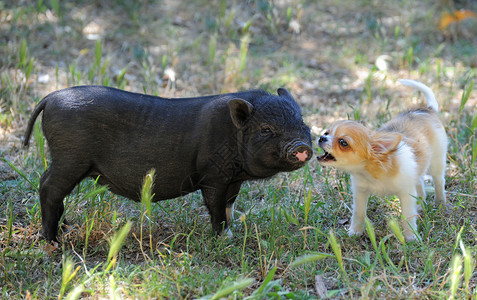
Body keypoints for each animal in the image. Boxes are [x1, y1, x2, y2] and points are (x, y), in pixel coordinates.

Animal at [23, 85, 312, 240]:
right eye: (266, 129)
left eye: (302, 122)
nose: (302, 146)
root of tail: (51, 97)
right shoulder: (213, 175)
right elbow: (216, 206)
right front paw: (222, 237)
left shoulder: (232, 178)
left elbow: (230, 204)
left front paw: (233, 232)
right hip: (70, 158)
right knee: (48, 187)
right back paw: (53, 240)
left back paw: (65, 228)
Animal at [316, 78, 446, 240]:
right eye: (326, 132)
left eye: (343, 143)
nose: (321, 137)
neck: (370, 172)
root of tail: (427, 110)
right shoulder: (360, 192)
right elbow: (358, 213)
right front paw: (355, 232)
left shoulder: (406, 193)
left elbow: (408, 217)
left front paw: (411, 237)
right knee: (420, 182)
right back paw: (421, 205)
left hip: (437, 161)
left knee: (439, 181)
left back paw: (440, 203)